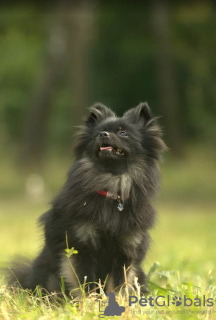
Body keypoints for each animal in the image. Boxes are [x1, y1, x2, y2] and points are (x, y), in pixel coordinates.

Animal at [5, 102, 166, 296]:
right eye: (98, 133)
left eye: (123, 133)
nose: (103, 134)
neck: (111, 186)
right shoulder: (80, 245)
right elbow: (85, 281)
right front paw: (88, 301)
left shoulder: (126, 251)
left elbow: (118, 285)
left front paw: (116, 301)